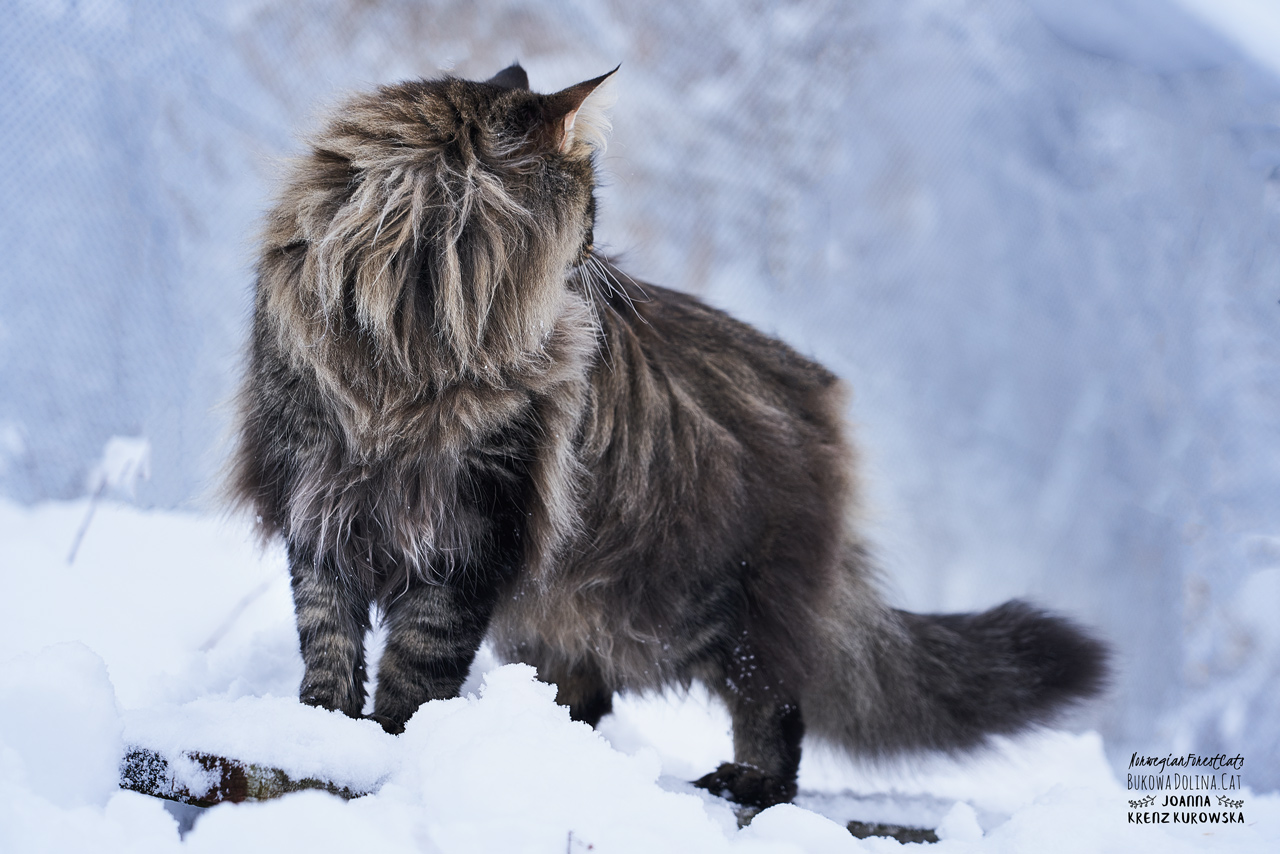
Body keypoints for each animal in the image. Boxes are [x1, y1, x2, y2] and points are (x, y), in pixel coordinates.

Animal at [225, 63, 1105, 814]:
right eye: (586, 210)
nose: (594, 253)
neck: (406, 341)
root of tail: (820, 394)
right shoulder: (319, 497)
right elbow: (328, 640)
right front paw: (319, 732)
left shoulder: (475, 525)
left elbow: (418, 659)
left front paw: (392, 744)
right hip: (570, 611)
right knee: (585, 695)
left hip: (729, 602)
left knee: (775, 708)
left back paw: (747, 783)